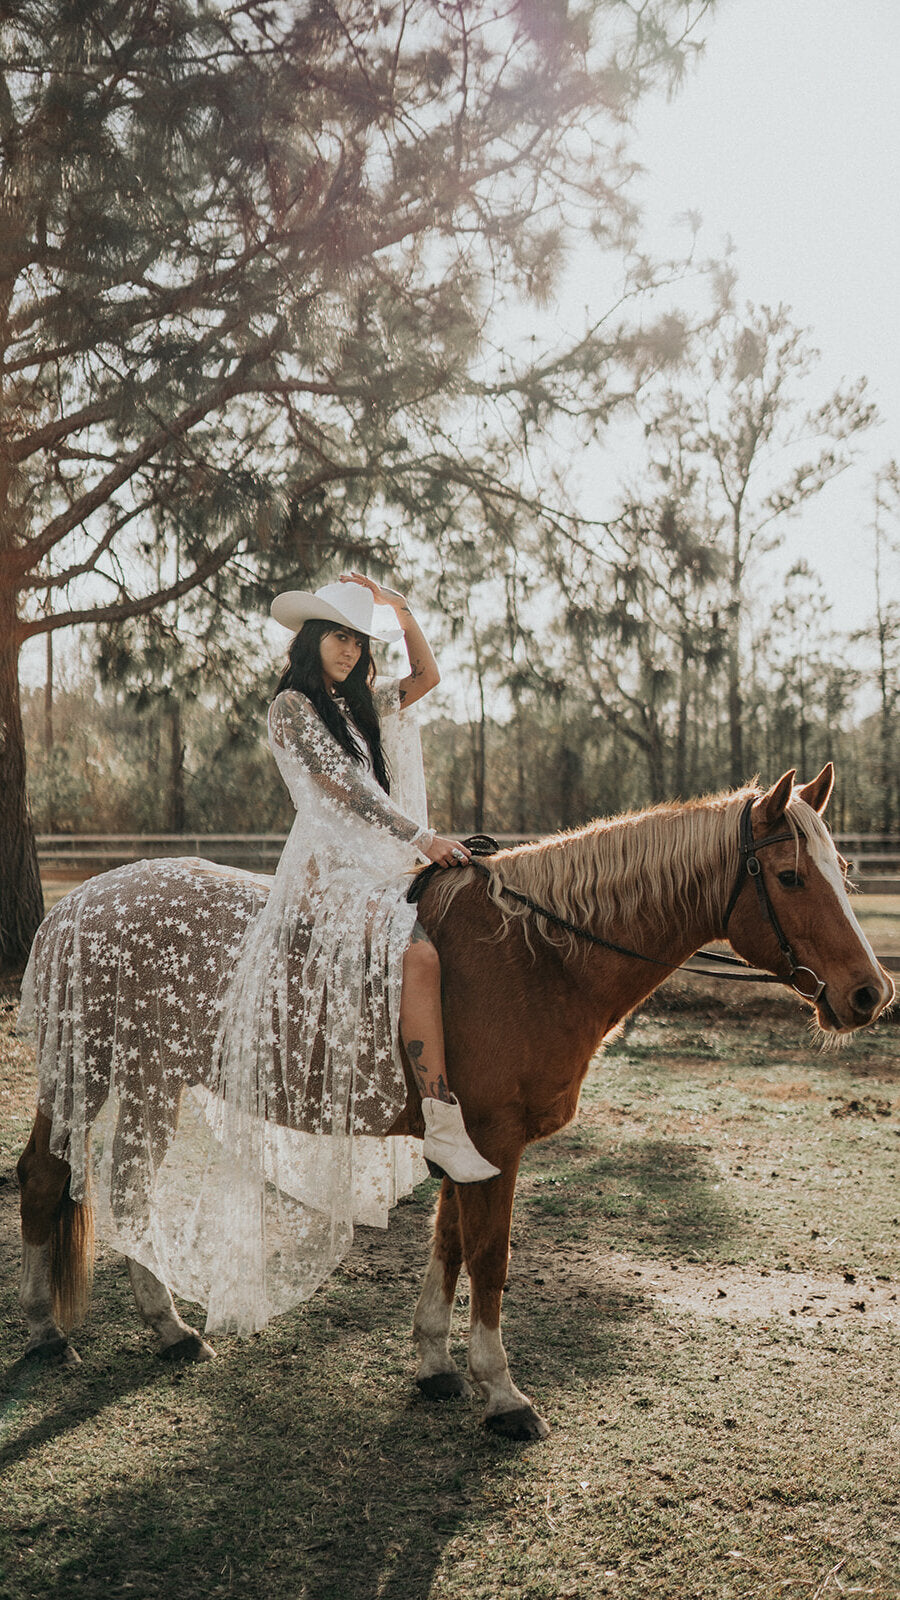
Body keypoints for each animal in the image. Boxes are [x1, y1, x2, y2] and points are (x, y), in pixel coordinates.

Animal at [14, 761, 890, 1440]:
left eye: (843, 872)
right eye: (790, 876)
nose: (869, 993)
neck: (537, 954)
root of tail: (78, 903)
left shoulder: (466, 1145)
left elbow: (448, 1244)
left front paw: (434, 1364)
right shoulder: (496, 1142)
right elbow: (490, 1258)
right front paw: (501, 1395)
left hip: (150, 1079)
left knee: (123, 1188)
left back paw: (166, 1331)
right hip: (93, 1073)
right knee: (47, 1178)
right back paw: (48, 1332)